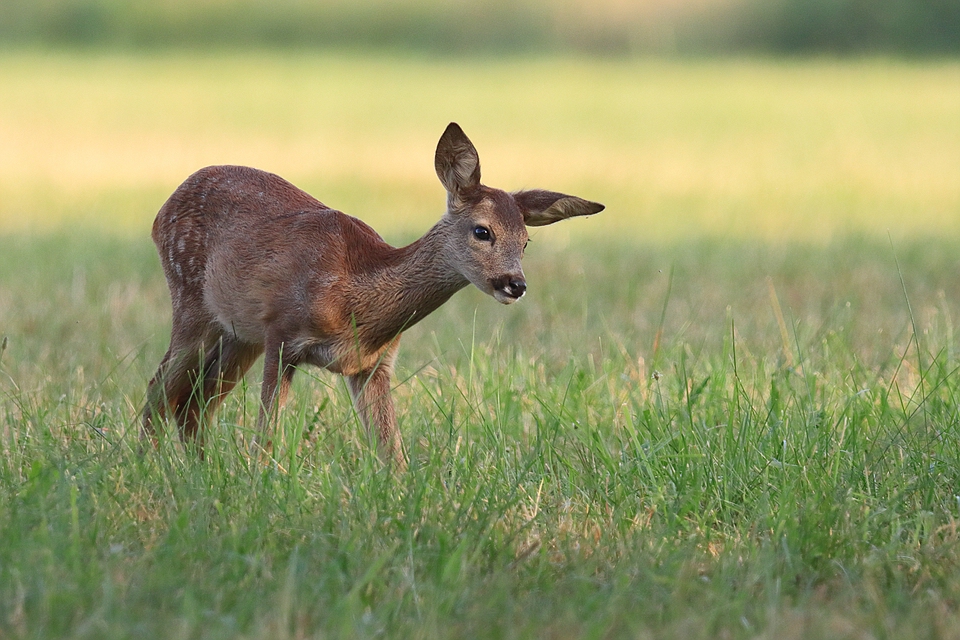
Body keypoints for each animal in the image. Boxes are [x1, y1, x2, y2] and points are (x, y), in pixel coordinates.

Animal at [139, 122, 604, 468]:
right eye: (482, 231)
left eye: (526, 242)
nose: (515, 284)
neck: (356, 301)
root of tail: (164, 206)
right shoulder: (282, 331)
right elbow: (266, 433)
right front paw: (259, 482)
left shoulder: (374, 364)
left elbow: (391, 453)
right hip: (192, 300)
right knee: (160, 390)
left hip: (238, 333)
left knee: (193, 403)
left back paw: (198, 470)